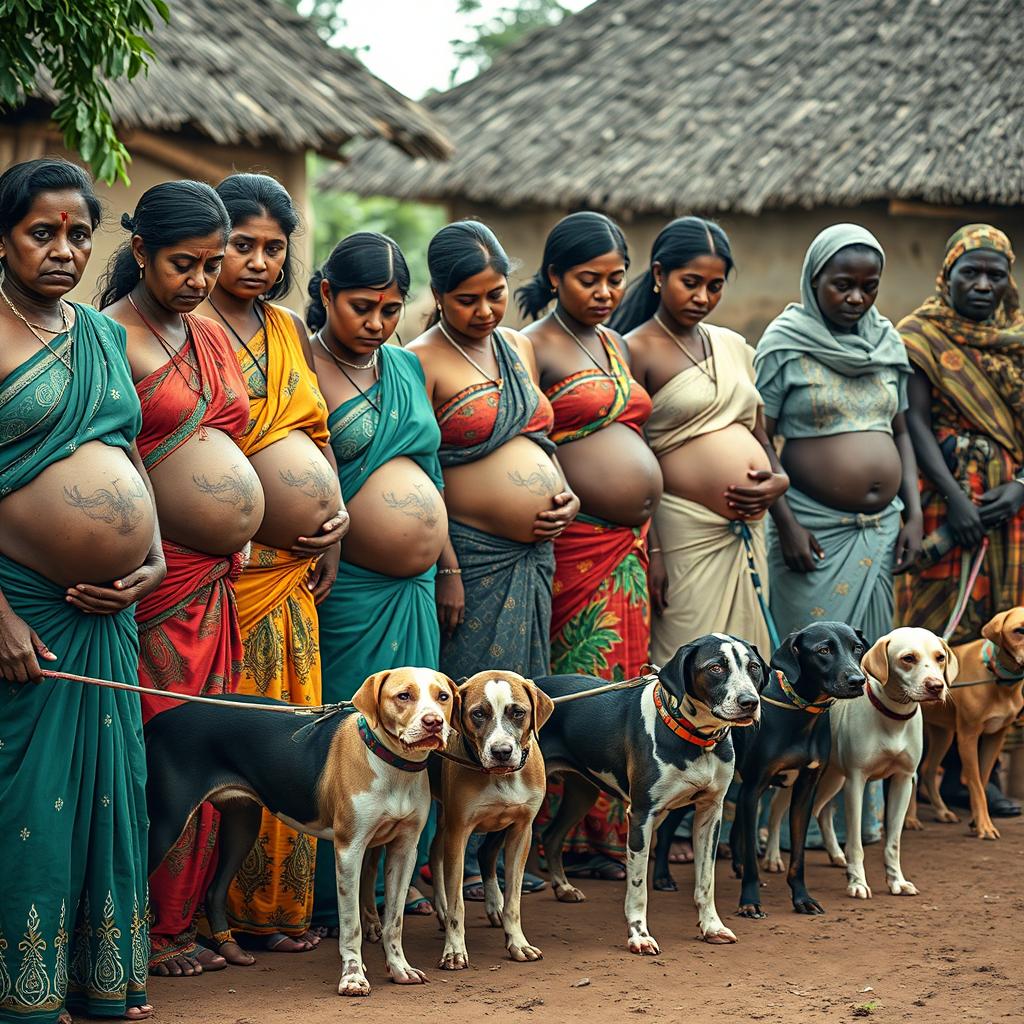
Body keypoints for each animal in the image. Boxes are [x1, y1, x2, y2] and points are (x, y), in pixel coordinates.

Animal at [428, 667, 557, 970]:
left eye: (518, 712)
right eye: (478, 713)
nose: (501, 752)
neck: (500, 777)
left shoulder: (522, 830)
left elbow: (514, 900)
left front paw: (518, 942)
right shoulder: (458, 832)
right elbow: (458, 904)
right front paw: (454, 949)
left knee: (482, 852)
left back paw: (492, 905)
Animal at [536, 634, 770, 954]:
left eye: (754, 667)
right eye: (716, 668)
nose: (750, 702)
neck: (696, 738)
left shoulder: (710, 813)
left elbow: (706, 881)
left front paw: (711, 926)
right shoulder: (641, 816)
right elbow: (638, 888)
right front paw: (639, 935)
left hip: (581, 794)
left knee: (551, 836)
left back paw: (563, 887)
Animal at [733, 622, 868, 921]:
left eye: (857, 648)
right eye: (824, 650)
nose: (858, 681)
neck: (800, 712)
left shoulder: (805, 790)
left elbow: (798, 856)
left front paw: (802, 898)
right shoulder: (753, 789)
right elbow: (752, 858)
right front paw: (750, 902)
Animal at [806, 626, 958, 901]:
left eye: (940, 657)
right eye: (908, 658)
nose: (936, 686)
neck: (894, 717)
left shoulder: (903, 780)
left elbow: (893, 843)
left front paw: (897, 881)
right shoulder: (856, 782)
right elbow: (856, 843)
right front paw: (857, 882)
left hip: (833, 777)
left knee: (823, 812)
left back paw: (835, 854)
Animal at [913, 606, 1024, 839]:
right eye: (1019, 630)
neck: (996, 676)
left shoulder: (995, 736)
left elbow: (981, 781)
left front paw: (976, 821)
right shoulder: (968, 737)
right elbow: (975, 783)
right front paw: (984, 826)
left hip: (943, 734)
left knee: (928, 770)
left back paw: (942, 811)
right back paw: (910, 820)